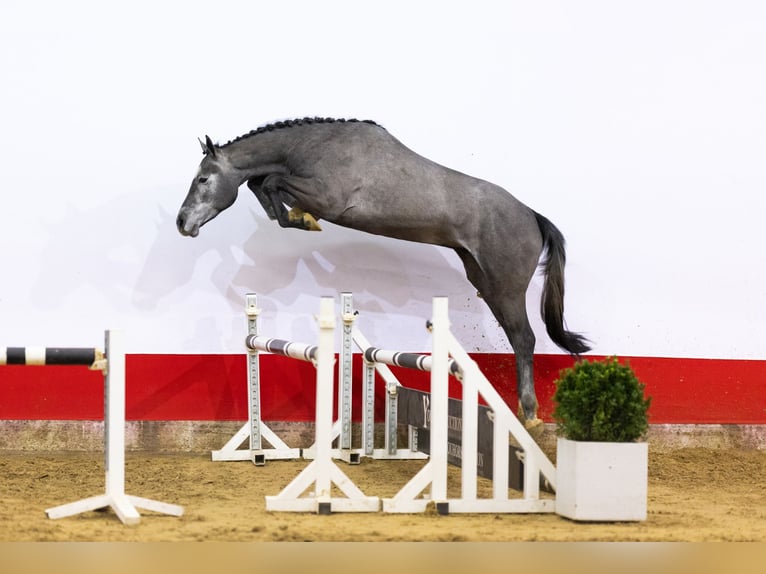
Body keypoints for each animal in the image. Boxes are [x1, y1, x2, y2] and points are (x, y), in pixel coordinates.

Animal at [176, 117, 590, 435]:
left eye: (203, 179)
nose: (182, 223)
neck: (312, 147)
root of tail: (532, 215)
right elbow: (262, 187)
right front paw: (296, 218)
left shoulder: (327, 198)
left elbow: (271, 183)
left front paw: (303, 220)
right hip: (486, 282)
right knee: (518, 336)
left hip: (505, 288)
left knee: (524, 338)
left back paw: (530, 415)